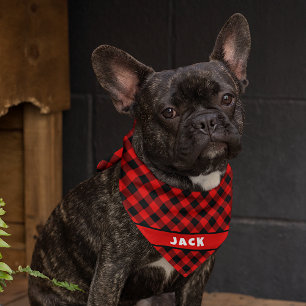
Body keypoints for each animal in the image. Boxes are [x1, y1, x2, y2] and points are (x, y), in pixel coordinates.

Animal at [28, 12, 251, 306]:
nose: (206, 120)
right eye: (168, 112)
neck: (188, 185)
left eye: (227, 98)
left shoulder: (197, 276)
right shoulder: (111, 270)